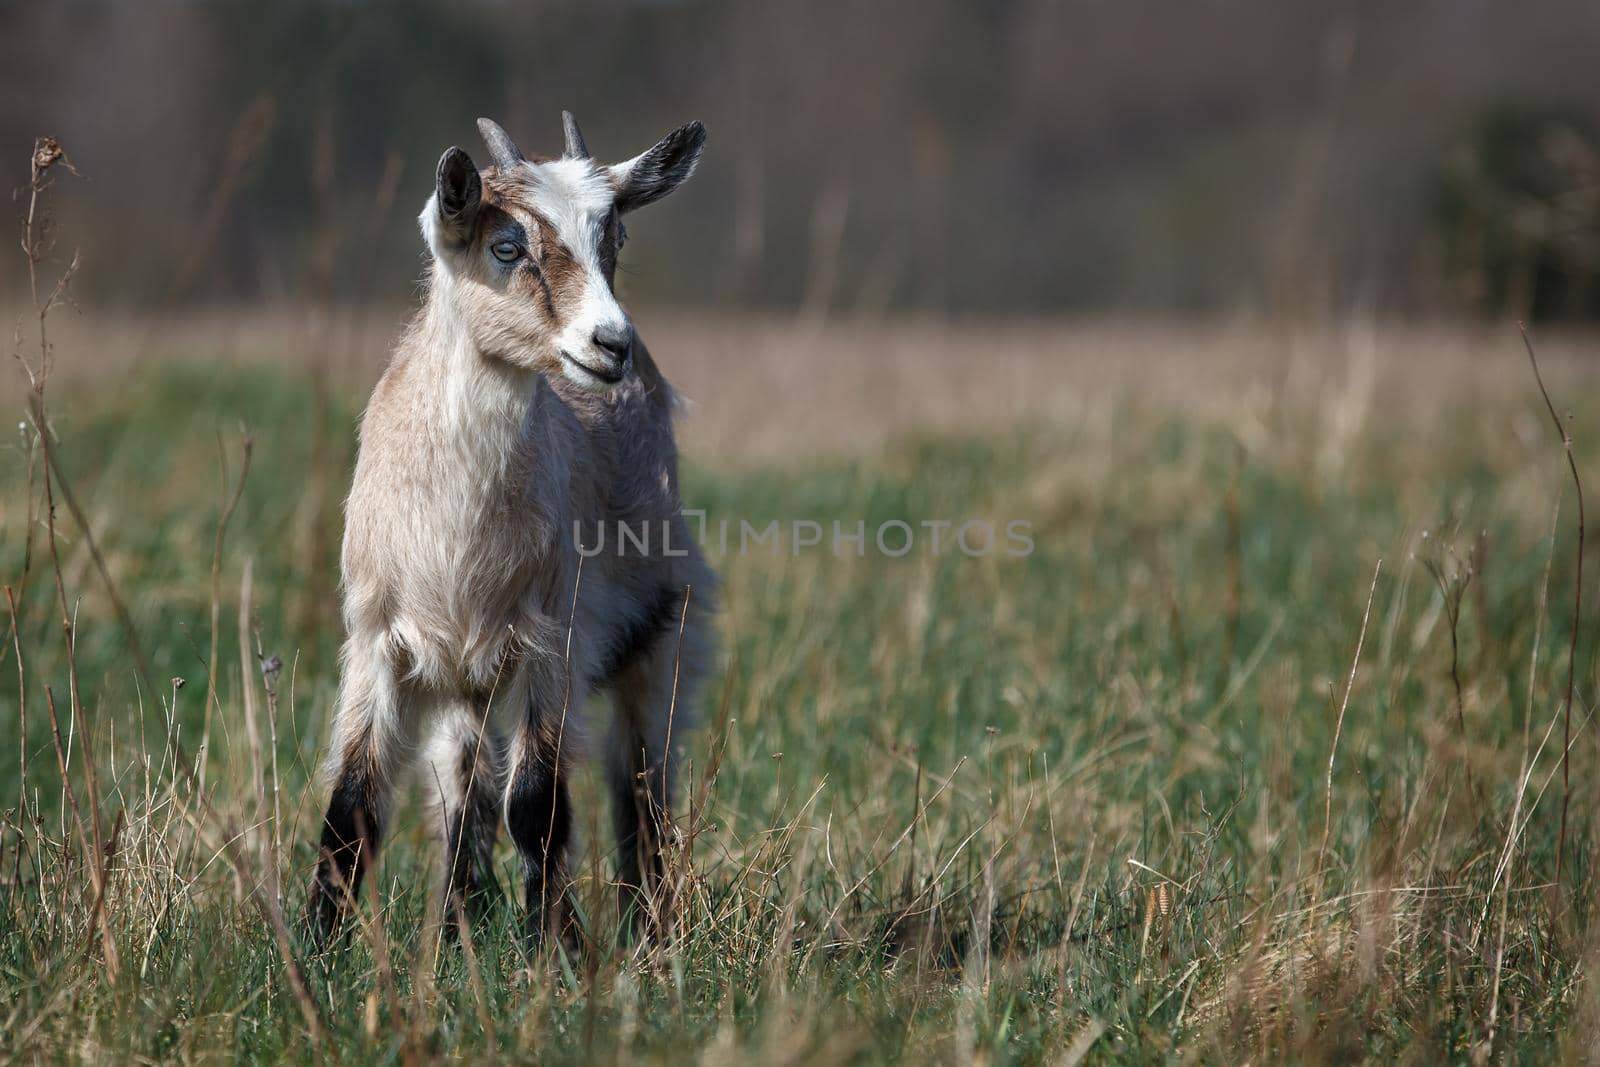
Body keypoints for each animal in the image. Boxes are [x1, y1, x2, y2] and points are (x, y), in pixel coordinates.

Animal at [304, 112, 713, 947]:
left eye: (615, 238)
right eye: (505, 246)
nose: (611, 344)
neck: (455, 538)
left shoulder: (552, 639)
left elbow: (540, 805)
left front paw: (557, 948)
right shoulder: (376, 638)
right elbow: (351, 806)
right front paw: (310, 953)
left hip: (664, 630)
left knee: (642, 781)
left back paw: (647, 926)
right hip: (467, 678)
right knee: (466, 786)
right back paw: (459, 921)